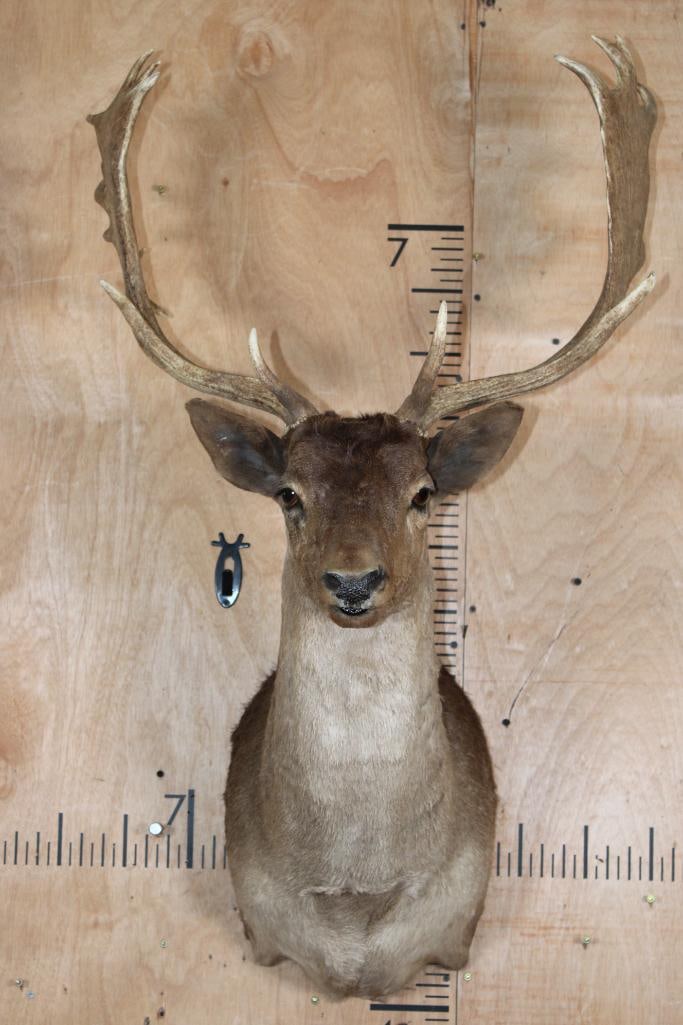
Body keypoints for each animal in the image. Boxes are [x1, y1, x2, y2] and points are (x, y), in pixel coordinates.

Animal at [88, 36, 655, 999]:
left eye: (422, 492)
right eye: (289, 493)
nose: (352, 580)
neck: (355, 898)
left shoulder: (458, 934)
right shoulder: (258, 934)